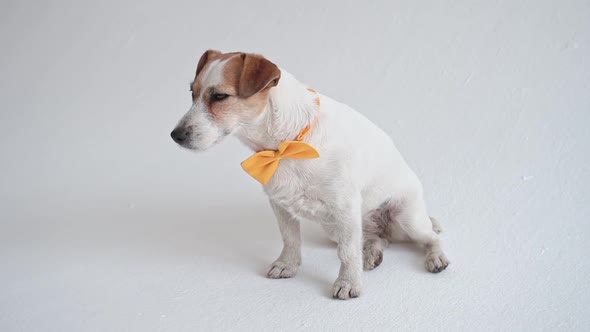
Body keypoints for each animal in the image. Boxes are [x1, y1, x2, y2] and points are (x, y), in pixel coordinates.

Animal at [173, 50, 450, 300]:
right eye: (192, 93)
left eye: (219, 96)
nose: (175, 135)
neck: (287, 144)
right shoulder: (280, 205)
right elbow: (290, 239)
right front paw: (288, 265)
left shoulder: (345, 206)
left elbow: (348, 253)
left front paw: (348, 282)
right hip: (337, 228)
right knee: (376, 238)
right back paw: (372, 252)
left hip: (406, 218)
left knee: (430, 238)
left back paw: (435, 257)